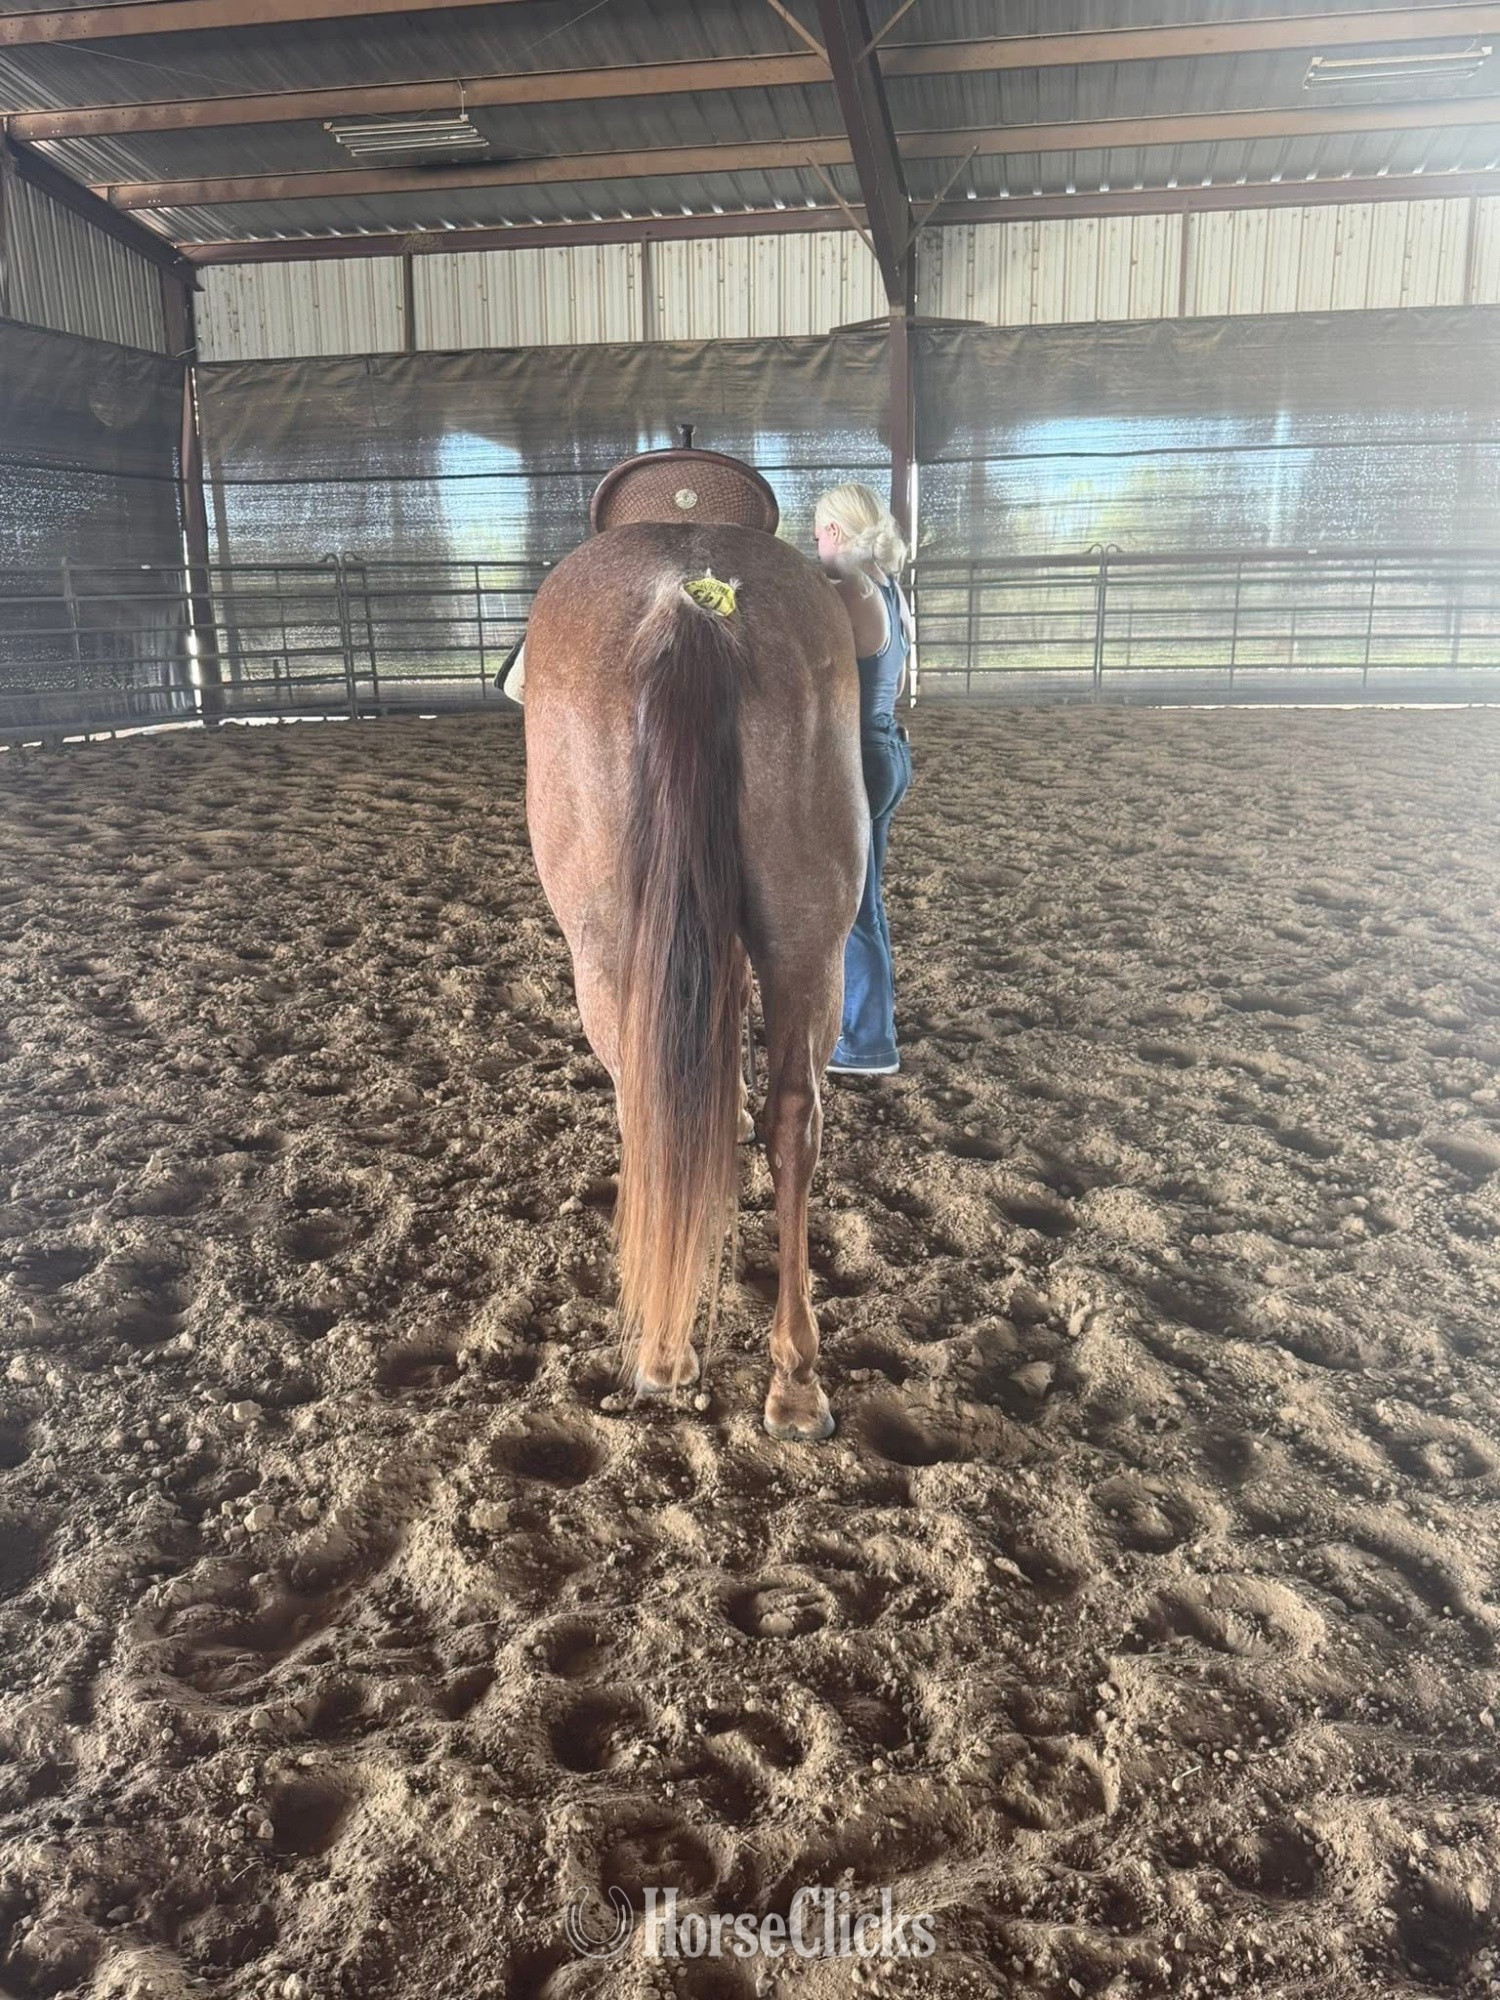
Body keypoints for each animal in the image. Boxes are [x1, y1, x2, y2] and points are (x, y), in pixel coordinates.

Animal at [522, 521, 868, 1441]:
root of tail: (688, 599)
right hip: (808, 940)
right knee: (794, 1119)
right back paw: (794, 1382)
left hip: (611, 952)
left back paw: (667, 1355)